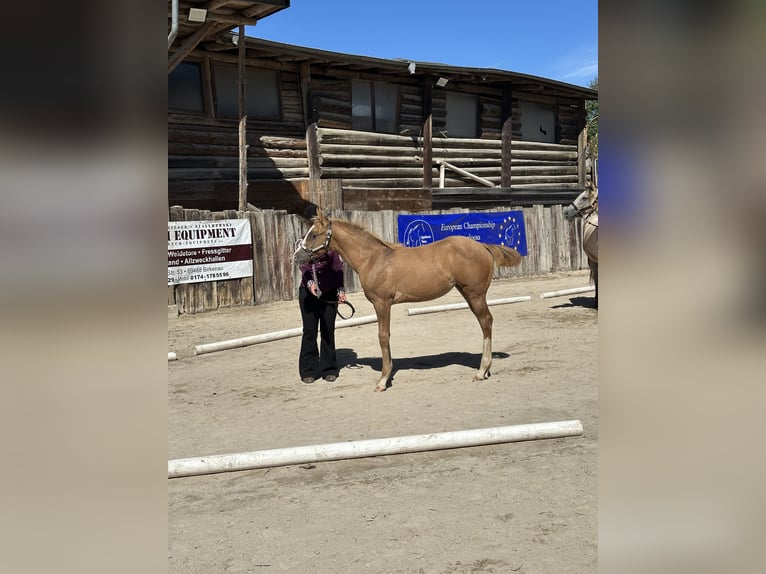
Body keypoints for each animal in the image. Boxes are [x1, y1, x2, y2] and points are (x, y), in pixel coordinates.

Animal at [293, 210, 522, 391]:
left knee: (486, 322)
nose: (296, 257)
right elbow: (386, 337)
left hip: (475, 295)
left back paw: (481, 371)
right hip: (469, 294)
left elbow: (383, 337)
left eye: (313, 234)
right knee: (485, 323)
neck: (374, 259)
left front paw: (383, 380)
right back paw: (486, 370)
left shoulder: (382, 303)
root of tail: (482, 246)